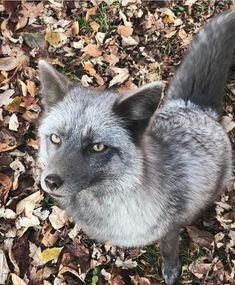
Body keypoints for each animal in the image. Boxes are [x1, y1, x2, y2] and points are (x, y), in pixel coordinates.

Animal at [39, 11, 235, 284]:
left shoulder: (170, 227)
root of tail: (191, 107)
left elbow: (168, 251)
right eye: (56, 138)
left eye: (98, 147)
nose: (50, 181)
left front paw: (171, 270)